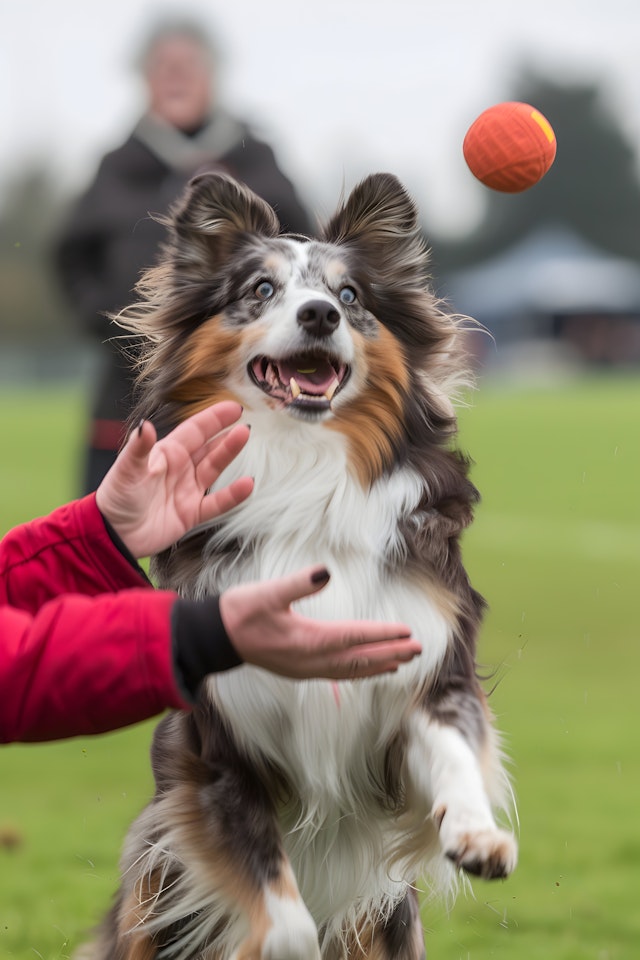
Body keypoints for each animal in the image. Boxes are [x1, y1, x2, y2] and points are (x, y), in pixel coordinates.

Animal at [82, 172, 516, 960]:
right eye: (260, 289)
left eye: (349, 295)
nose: (319, 314)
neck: (305, 471)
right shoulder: (216, 754)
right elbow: (281, 918)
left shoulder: (419, 667)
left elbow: (453, 744)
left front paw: (476, 832)